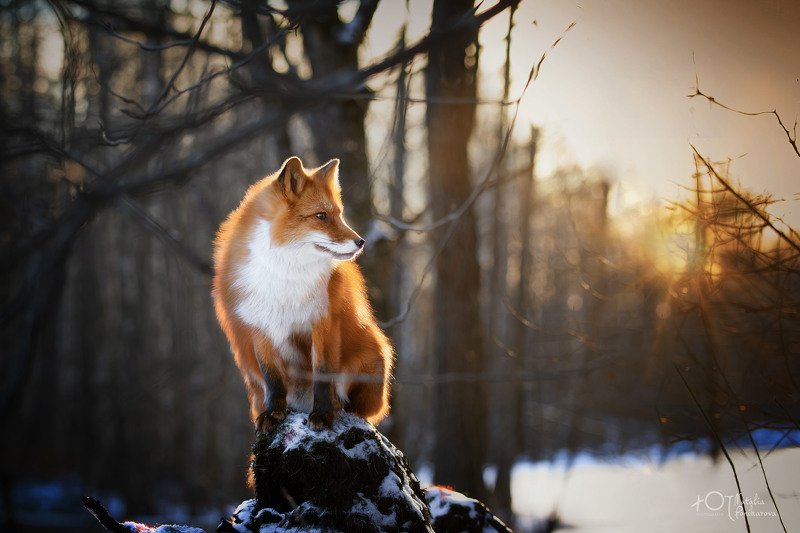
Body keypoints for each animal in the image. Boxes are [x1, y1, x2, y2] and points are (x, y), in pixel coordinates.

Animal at [212, 156, 393, 432]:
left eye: (339, 214)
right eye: (321, 216)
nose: (361, 242)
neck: (285, 275)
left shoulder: (323, 322)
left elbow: (323, 375)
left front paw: (324, 414)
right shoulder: (260, 328)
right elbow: (273, 380)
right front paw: (273, 413)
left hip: (373, 355)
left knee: (360, 409)